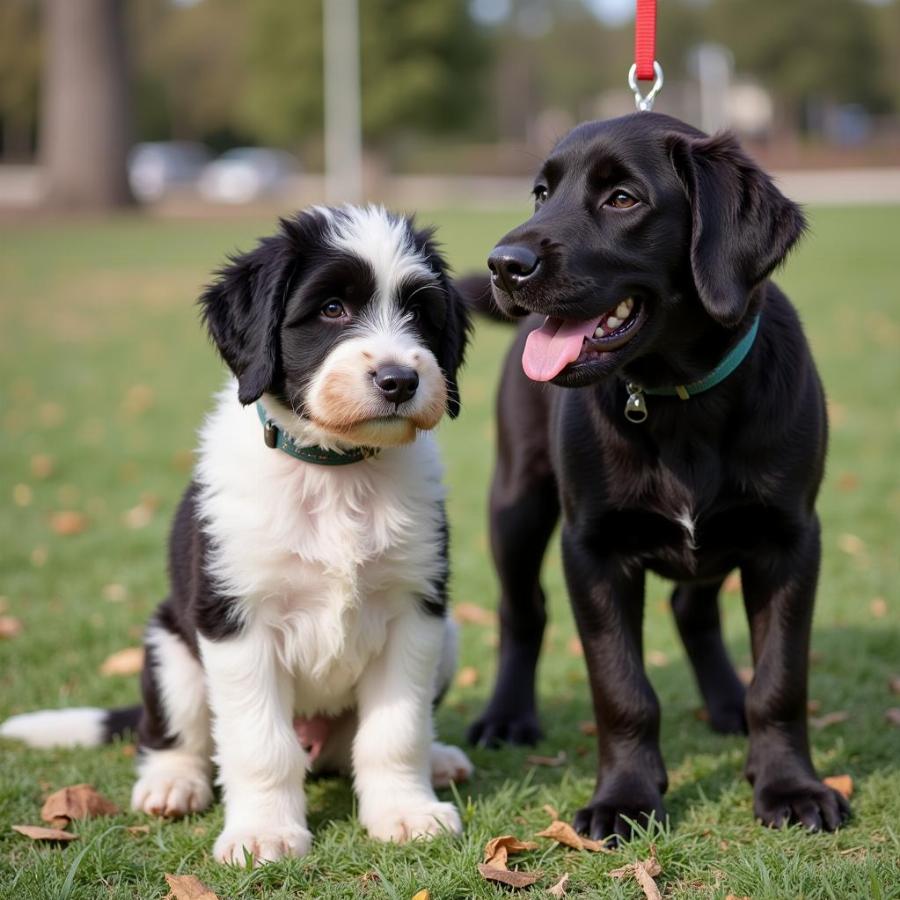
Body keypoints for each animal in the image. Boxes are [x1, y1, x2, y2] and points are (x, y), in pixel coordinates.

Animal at [0, 204, 474, 864]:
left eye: (421, 315)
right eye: (332, 308)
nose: (400, 380)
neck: (334, 471)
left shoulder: (415, 610)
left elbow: (395, 731)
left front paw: (405, 812)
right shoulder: (236, 620)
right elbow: (258, 744)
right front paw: (264, 833)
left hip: (448, 634)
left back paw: (440, 758)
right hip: (171, 649)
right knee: (173, 735)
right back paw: (172, 782)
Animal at [468, 114, 848, 844]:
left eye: (623, 199)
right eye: (541, 193)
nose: (504, 263)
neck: (679, 400)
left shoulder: (790, 540)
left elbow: (781, 680)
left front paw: (790, 787)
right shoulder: (592, 550)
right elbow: (622, 690)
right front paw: (625, 800)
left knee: (692, 610)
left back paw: (727, 705)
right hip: (516, 502)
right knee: (521, 610)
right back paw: (507, 717)